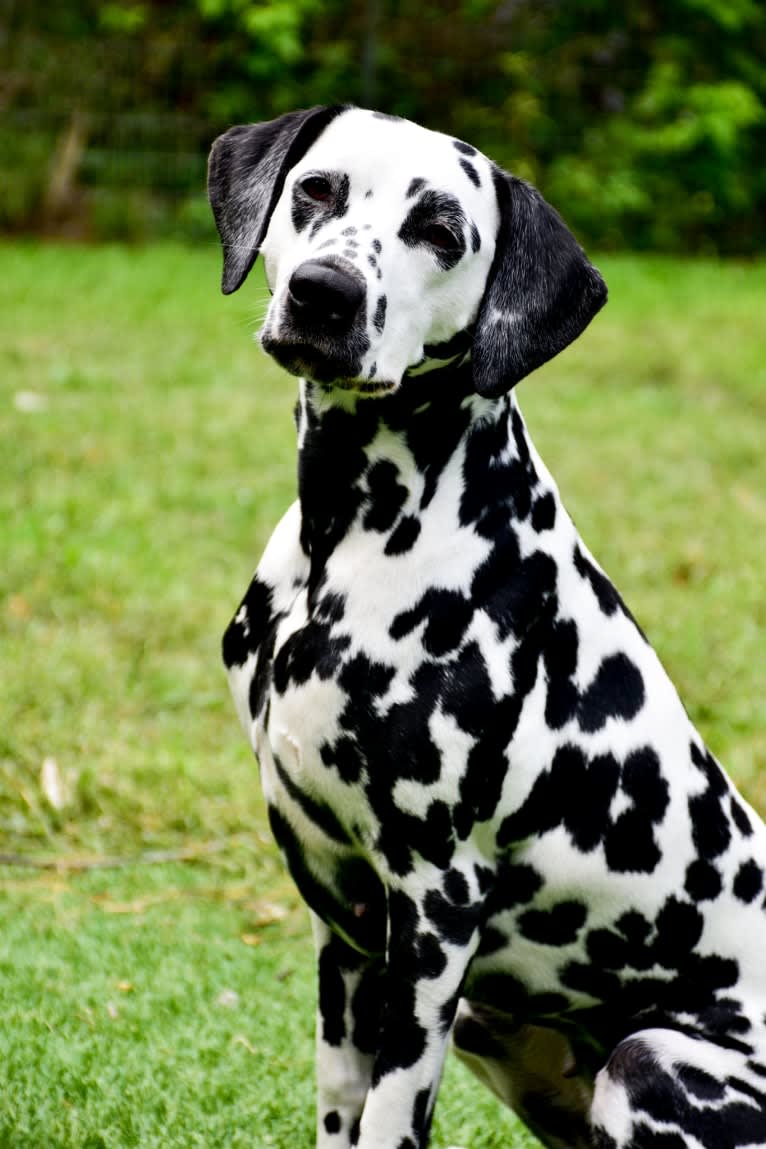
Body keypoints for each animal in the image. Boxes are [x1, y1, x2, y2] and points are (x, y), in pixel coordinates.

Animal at [207, 103, 766, 1144]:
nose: (324, 293)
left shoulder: (435, 908)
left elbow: (391, 1116)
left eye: (440, 231)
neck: (346, 541)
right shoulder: (344, 916)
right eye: (317, 190)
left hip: (647, 1060)